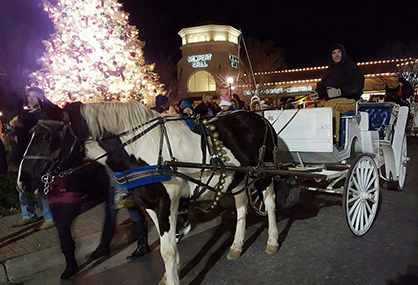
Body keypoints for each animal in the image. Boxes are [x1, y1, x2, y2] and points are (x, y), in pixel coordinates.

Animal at [18, 98, 280, 284]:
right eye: (31, 135)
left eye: (45, 136)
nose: (22, 181)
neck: (144, 149)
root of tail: (258, 116)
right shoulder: (152, 206)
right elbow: (170, 246)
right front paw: (169, 274)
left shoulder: (166, 204)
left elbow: (168, 250)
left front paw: (172, 277)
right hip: (237, 177)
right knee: (241, 205)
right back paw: (236, 245)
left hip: (262, 173)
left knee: (269, 203)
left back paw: (272, 240)